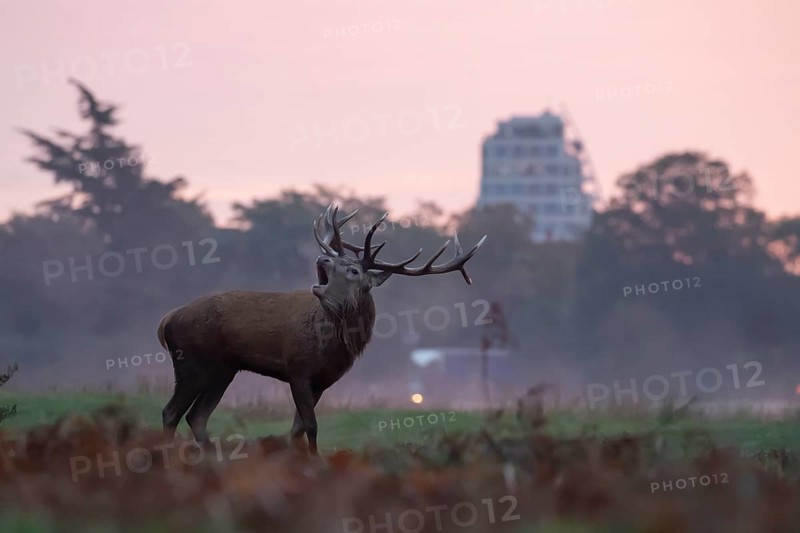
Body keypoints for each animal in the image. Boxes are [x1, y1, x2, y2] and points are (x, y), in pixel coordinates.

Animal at [156, 205, 486, 454]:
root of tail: (167, 320)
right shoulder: (297, 370)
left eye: (352, 269)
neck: (333, 344)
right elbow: (311, 426)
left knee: (197, 416)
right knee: (171, 412)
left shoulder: (323, 381)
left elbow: (298, 428)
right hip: (192, 361)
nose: (322, 256)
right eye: (337, 259)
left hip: (224, 368)